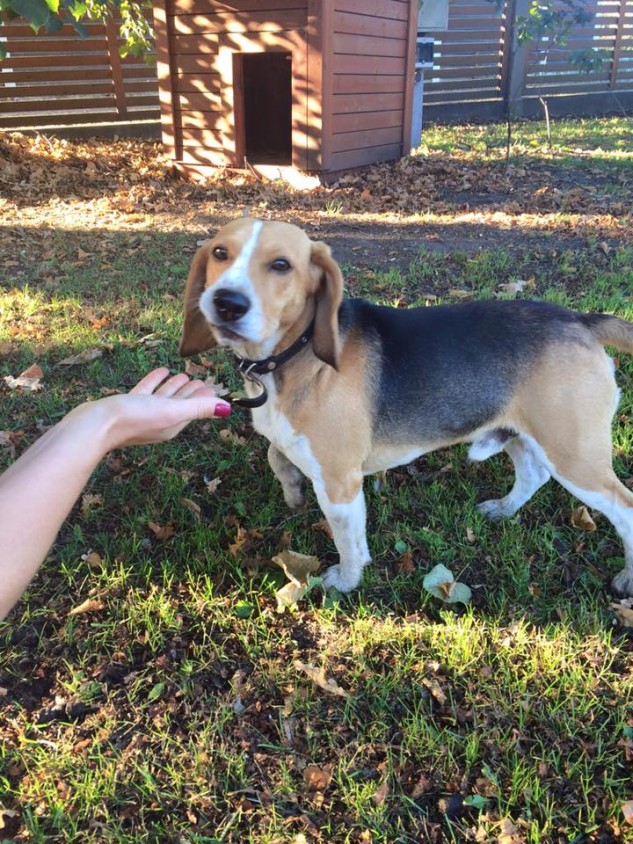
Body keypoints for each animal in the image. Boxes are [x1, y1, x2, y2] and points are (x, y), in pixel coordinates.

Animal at [179, 217, 633, 596]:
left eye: (280, 264)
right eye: (220, 253)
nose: (226, 302)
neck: (296, 353)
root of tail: (580, 320)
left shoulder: (340, 483)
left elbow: (348, 540)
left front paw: (346, 581)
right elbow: (277, 455)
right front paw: (292, 491)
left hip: (575, 456)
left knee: (624, 508)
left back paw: (626, 578)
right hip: (520, 433)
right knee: (533, 474)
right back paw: (503, 510)